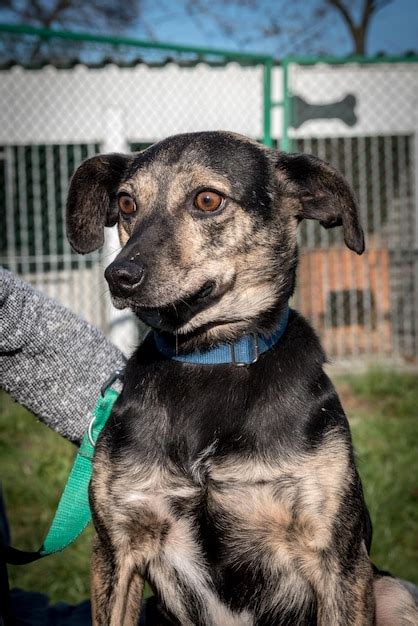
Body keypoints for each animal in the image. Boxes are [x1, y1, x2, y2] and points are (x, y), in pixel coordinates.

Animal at [66, 132, 418, 624]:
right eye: (126, 203)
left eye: (207, 199)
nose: (119, 276)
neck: (209, 357)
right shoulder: (116, 548)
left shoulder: (336, 557)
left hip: (393, 592)